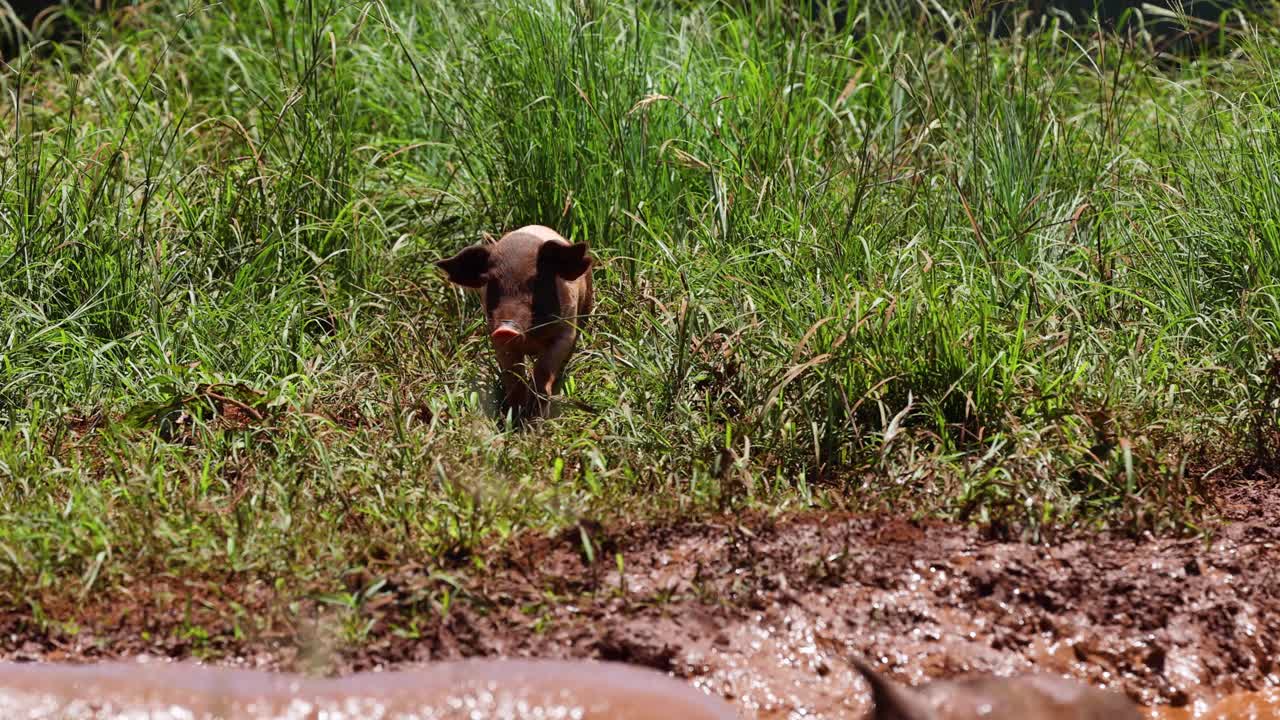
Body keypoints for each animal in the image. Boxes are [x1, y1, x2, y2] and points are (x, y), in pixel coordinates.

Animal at [435, 222, 593, 415]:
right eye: (492, 283)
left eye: (536, 282)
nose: (506, 330)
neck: (530, 338)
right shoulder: (496, 338)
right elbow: (513, 376)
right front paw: (515, 415)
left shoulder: (565, 331)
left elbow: (544, 371)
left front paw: (537, 415)